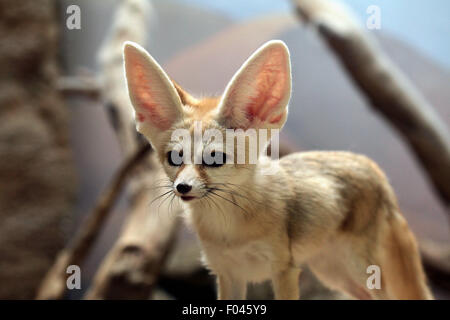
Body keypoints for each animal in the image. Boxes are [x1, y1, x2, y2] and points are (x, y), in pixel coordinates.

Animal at [123, 40, 432, 300]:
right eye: (175, 158)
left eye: (214, 159)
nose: (182, 187)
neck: (228, 229)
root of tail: (373, 166)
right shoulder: (228, 274)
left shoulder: (284, 269)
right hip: (334, 273)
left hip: (360, 270)